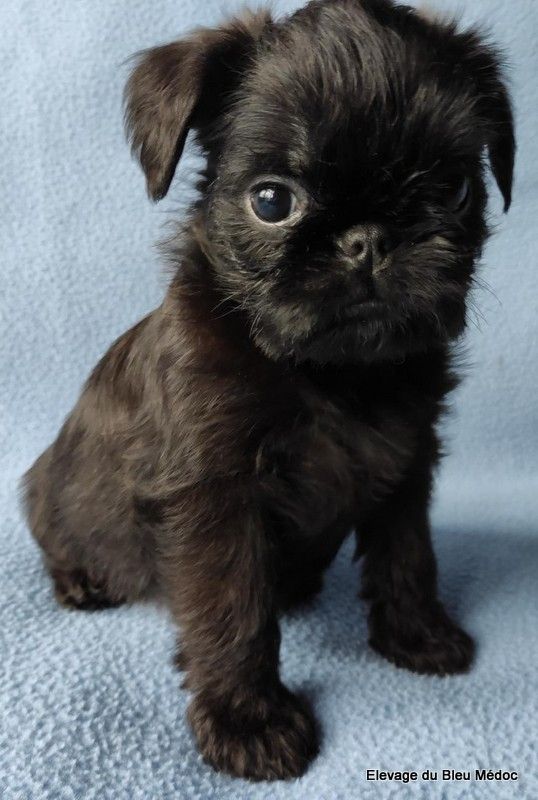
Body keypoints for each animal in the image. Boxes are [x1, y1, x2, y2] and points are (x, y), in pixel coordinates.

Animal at [23, 0, 515, 781]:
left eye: (454, 190)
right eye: (272, 201)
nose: (368, 238)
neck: (331, 373)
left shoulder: (407, 461)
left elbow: (408, 554)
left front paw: (417, 635)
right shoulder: (216, 499)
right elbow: (233, 610)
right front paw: (248, 721)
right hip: (54, 502)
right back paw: (81, 581)